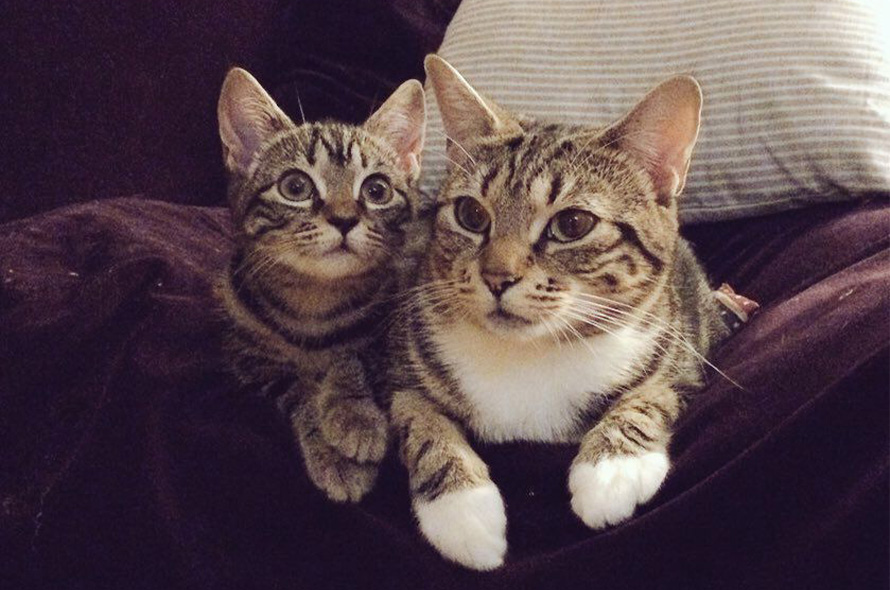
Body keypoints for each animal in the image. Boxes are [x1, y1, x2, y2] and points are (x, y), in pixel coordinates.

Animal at [213, 68, 424, 504]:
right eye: (295, 187)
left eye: (376, 190)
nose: (344, 219)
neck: (314, 298)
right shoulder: (247, 357)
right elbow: (301, 391)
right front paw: (332, 452)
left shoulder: (386, 325)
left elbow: (351, 356)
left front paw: (356, 415)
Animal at [386, 56, 728, 572]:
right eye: (470, 214)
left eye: (572, 224)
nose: (497, 277)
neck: (531, 353)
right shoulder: (395, 371)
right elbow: (420, 421)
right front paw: (463, 510)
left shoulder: (685, 355)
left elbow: (652, 394)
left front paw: (611, 470)